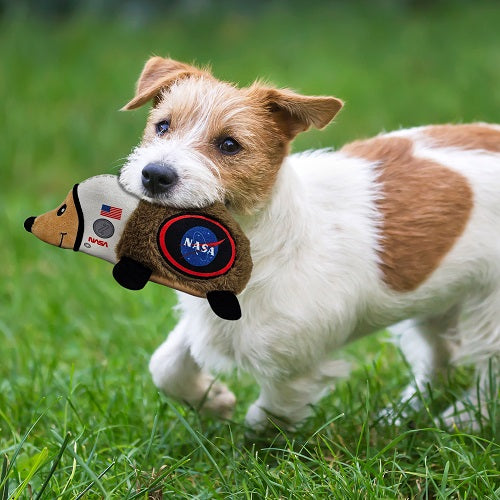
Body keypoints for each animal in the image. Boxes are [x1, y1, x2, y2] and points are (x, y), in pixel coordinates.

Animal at [119, 56, 498, 432]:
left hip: (488, 310)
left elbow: (267, 417)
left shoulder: (295, 367)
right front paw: (213, 400)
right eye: (162, 126)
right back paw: (402, 415)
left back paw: (465, 419)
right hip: (436, 301)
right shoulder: (207, 320)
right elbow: (165, 365)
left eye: (229, 145)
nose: (154, 174)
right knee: (440, 357)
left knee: (488, 372)